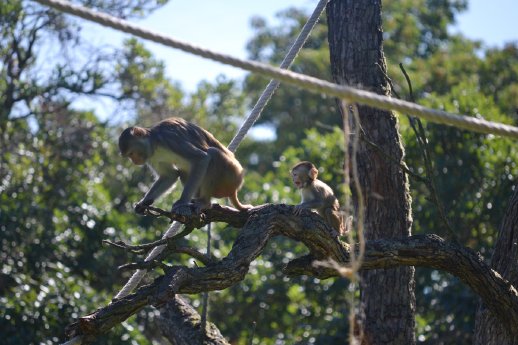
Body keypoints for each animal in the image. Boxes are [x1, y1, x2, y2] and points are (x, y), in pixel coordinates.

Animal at [120, 118, 254, 215]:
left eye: (131, 154)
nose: (134, 161)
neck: (155, 142)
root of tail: (234, 188)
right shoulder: (151, 157)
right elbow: (170, 175)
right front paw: (144, 202)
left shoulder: (169, 139)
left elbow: (201, 159)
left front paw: (182, 202)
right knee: (184, 170)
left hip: (231, 177)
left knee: (213, 154)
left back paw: (204, 202)